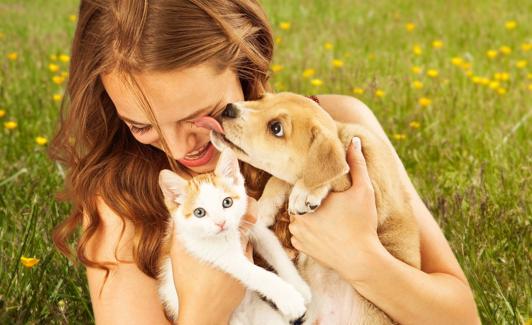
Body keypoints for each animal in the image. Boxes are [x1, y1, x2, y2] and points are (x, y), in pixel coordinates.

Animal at [156, 148, 312, 322]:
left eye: (227, 202)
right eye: (199, 212)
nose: (221, 223)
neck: (229, 234)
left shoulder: (255, 227)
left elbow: (278, 255)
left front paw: (300, 287)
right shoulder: (217, 254)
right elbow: (256, 274)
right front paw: (289, 299)